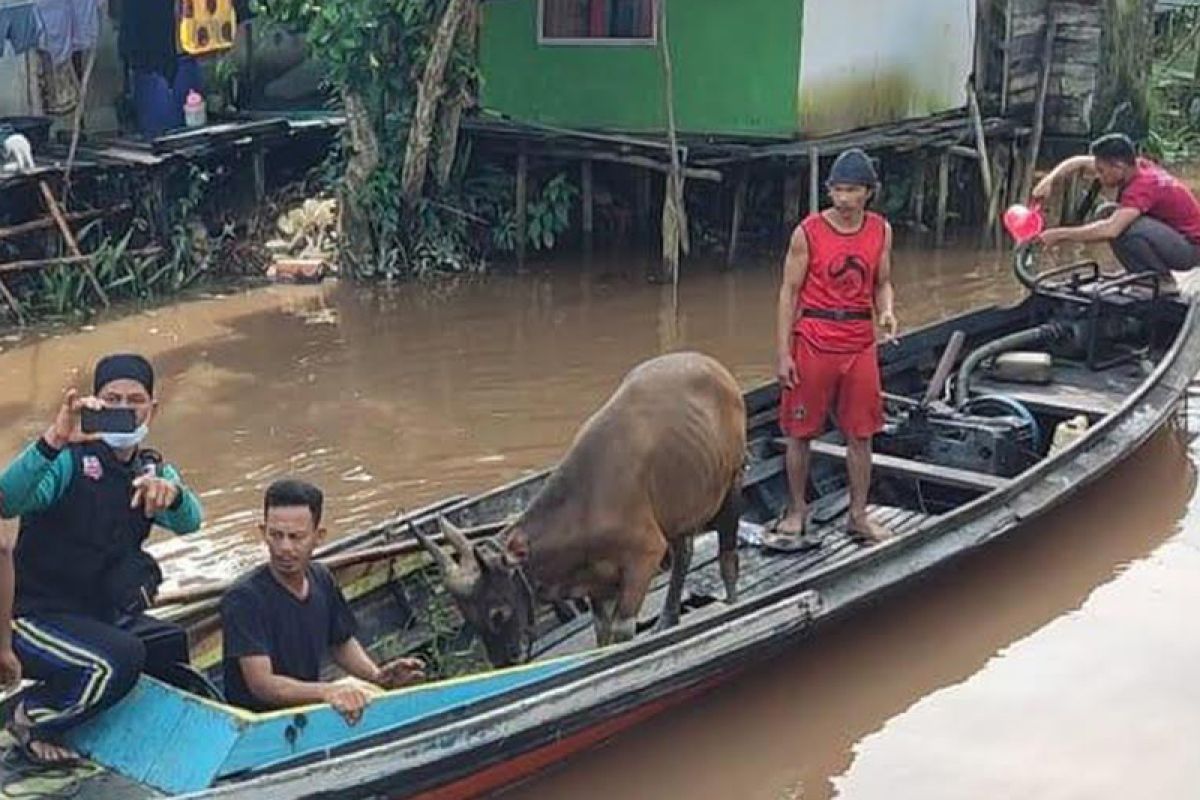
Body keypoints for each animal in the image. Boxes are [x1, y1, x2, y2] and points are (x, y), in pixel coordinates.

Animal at [417, 352, 744, 666]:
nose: (504, 662)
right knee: (684, 554)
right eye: (470, 620)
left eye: (498, 614)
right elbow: (602, 634)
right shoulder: (597, 585)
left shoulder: (644, 554)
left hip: (732, 478)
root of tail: (713, 366)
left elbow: (622, 632)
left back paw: (730, 603)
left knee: (727, 556)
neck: (583, 508)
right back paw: (668, 619)